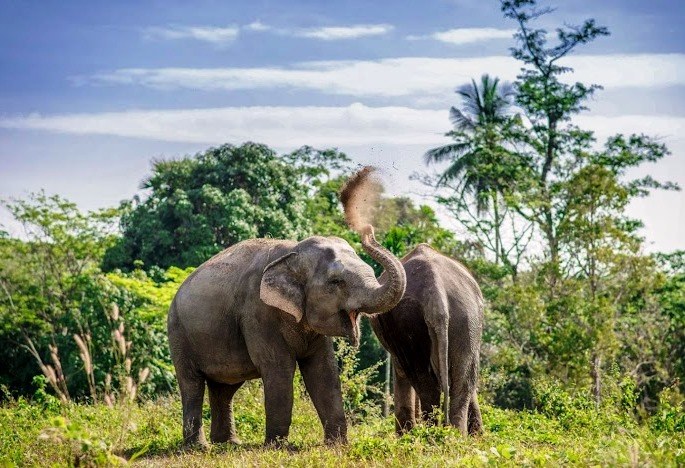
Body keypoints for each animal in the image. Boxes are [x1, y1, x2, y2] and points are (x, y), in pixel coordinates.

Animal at [167, 226, 406, 448]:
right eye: (336, 282)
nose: (368, 230)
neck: (293, 251)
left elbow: (323, 371)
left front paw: (337, 445)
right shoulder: (258, 312)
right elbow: (279, 368)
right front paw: (277, 447)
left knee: (224, 389)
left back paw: (229, 443)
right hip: (179, 334)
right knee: (192, 385)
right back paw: (199, 447)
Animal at [369, 244, 484, 436]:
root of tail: (435, 293)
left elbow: (400, 371)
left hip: (409, 322)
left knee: (425, 383)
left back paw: (431, 436)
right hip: (467, 319)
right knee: (461, 383)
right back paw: (454, 437)